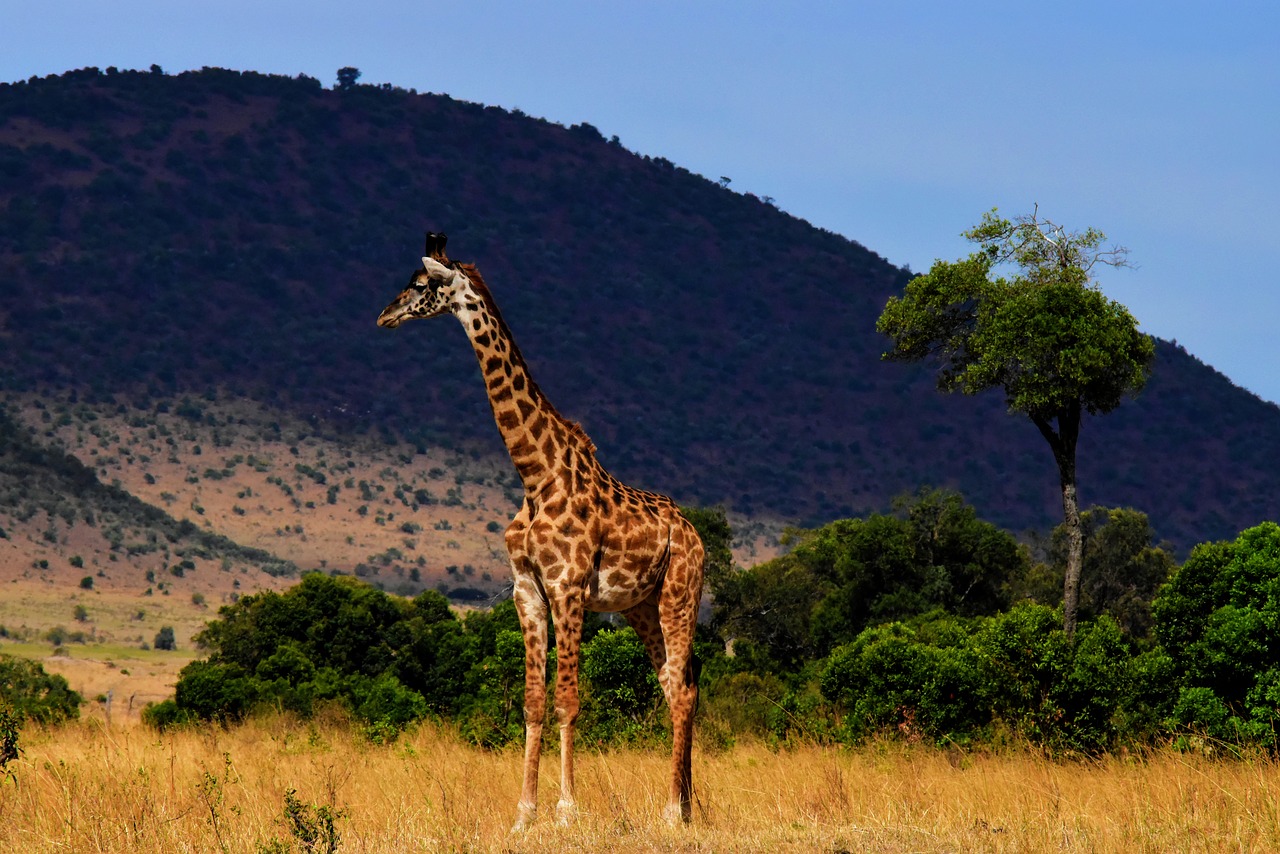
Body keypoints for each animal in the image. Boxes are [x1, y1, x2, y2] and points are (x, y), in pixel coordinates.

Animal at [373, 231, 706, 829]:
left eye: (422, 283)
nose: (385, 314)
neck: (534, 473)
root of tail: (696, 535)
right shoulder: (528, 590)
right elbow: (532, 702)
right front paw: (524, 813)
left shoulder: (568, 585)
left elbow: (568, 699)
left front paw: (567, 809)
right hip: (640, 606)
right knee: (675, 684)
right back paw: (686, 806)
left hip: (680, 593)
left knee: (685, 690)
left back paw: (673, 810)